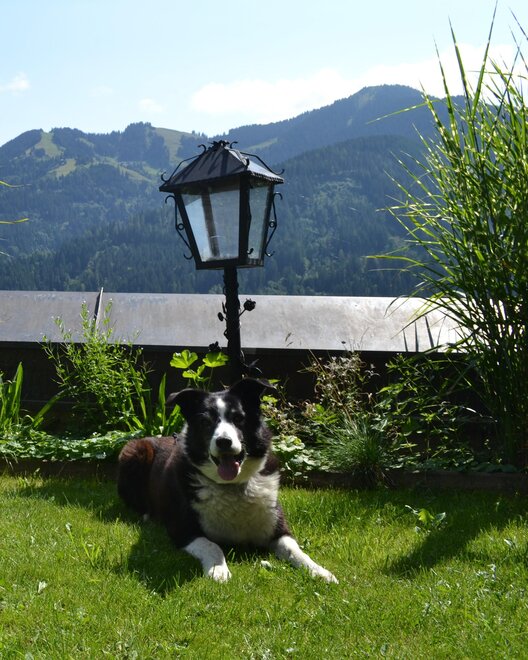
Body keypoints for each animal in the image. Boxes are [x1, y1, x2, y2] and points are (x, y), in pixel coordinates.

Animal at [117, 377, 337, 583]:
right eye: (206, 422)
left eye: (238, 418)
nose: (223, 441)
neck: (232, 486)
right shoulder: (182, 529)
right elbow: (212, 545)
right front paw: (218, 569)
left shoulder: (278, 528)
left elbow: (295, 550)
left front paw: (319, 571)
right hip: (133, 452)